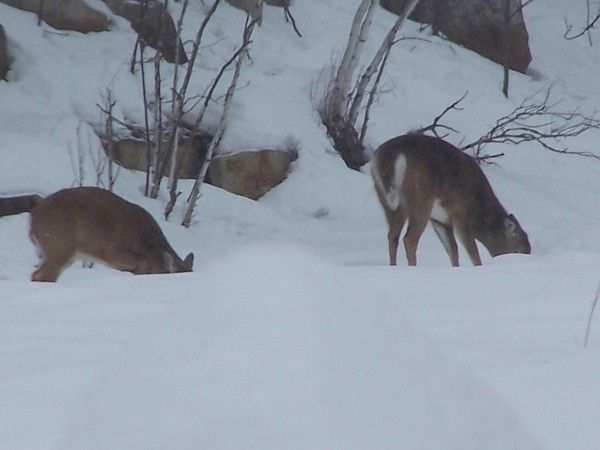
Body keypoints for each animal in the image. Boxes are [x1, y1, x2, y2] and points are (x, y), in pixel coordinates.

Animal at [370, 134, 528, 268]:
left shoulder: (440, 220)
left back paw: (393, 266)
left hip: (386, 200)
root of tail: (392, 154)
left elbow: (453, 250)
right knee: (409, 239)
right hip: (421, 198)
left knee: (393, 236)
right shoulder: (461, 214)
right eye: (517, 250)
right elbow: (472, 251)